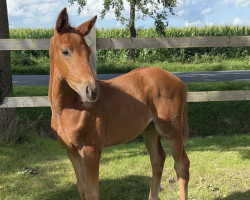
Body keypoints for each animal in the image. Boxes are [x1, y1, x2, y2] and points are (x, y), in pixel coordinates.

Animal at [48, 7, 189, 200]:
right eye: (65, 51)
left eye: (88, 52)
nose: (92, 91)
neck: (69, 108)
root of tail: (178, 80)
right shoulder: (72, 153)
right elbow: (82, 189)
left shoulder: (91, 151)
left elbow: (92, 192)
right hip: (149, 129)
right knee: (158, 160)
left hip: (171, 130)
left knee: (181, 165)